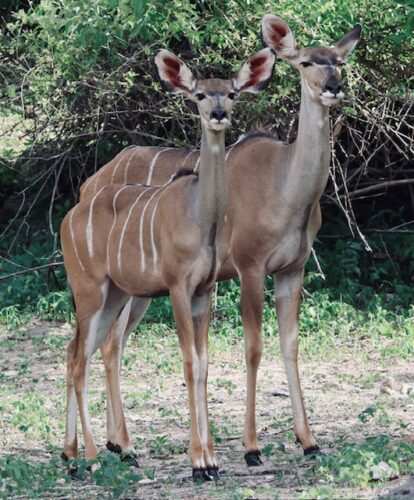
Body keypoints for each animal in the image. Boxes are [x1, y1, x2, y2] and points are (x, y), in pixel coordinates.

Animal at [59, 47, 276, 480]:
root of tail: (69, 215)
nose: (218, 114)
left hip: (114, 296)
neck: (200, 217)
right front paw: (199, 463)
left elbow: (205, 365)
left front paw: (212, 460)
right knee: (80, 358)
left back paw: (75, 455)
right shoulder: (177, 288)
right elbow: (189, 363)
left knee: (79, 351)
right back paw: (93, 456)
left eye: (231, 93)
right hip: (90, 292)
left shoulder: (204, 290)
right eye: (198, 94)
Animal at [79, 16, 360, 468]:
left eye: (338, 61)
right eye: (304, 62)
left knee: (110, 344)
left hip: (135, 288)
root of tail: (90, 184)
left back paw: (117, 444)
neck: (286, 186)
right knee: (110, 344)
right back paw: (123, 445)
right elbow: (253, 348)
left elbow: (291, 345)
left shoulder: (292, 269)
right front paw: (251, 448)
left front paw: (309, 440)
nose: (332, 87)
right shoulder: (250, 267)